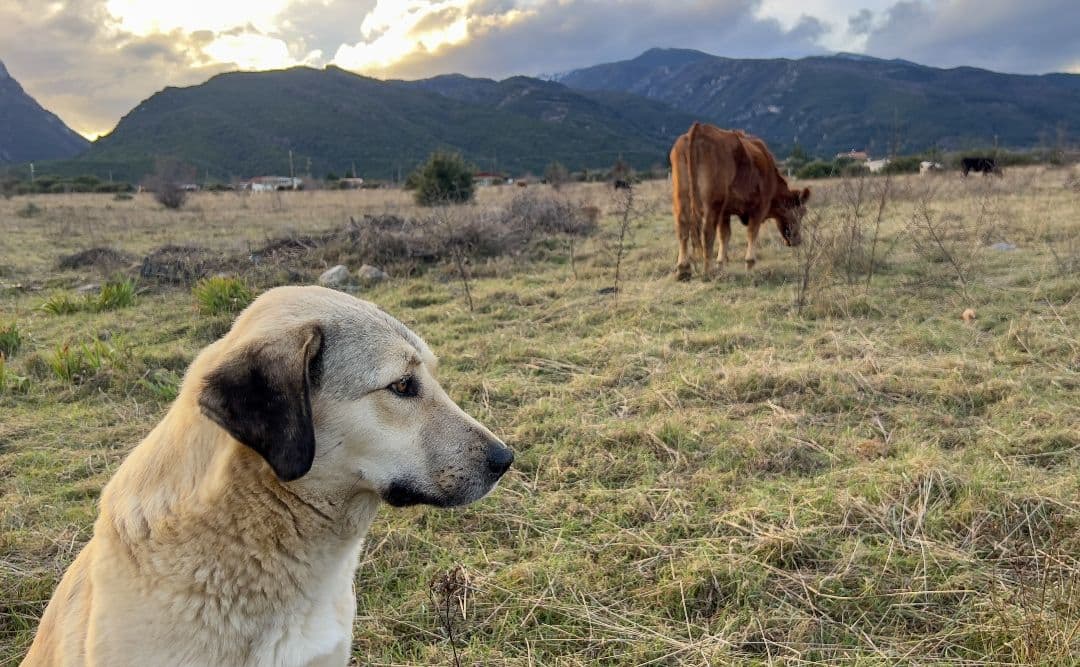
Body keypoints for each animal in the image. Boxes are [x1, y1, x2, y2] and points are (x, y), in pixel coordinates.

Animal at [670, 123, 810, 280]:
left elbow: (725, 235)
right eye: (801, 213)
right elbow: (752, 233)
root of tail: (699, 128)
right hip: (713, 203)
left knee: (683, 227)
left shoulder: (725, 212)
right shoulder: (759, 208)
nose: (797, 240)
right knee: (707, 232)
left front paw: (721, 265)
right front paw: (749, 265)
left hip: (681, 196)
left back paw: (683, 270)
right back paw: (708, 272)